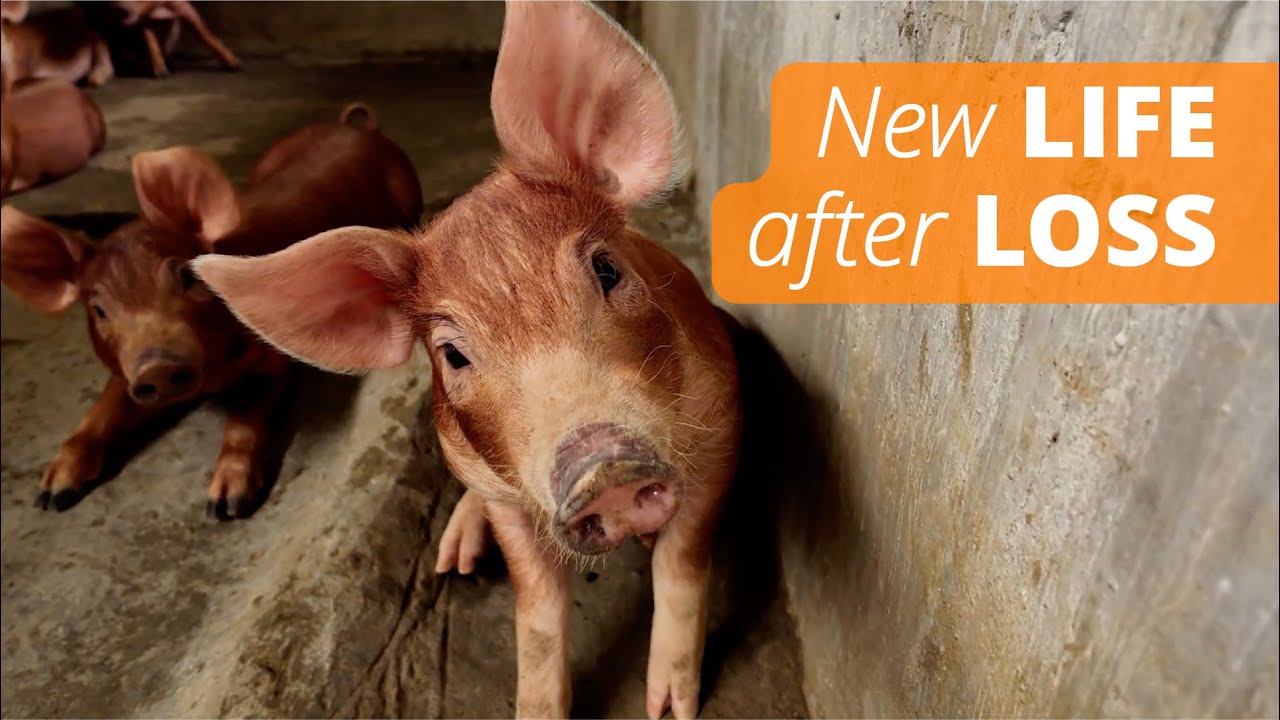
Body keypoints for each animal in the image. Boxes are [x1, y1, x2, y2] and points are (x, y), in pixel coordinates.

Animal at [0, 102, 423, 518]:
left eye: (187, 277)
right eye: (100, 309)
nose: (157, 365)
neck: (212, 381)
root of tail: (355, 127)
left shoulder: (274, 361)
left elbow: (243, 420)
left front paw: (225, 506)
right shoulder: (127, 372)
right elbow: (101, 412)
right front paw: (50, 494)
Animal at [192, 2, 741, 717]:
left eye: (606, 268)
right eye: (453, 354)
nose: (604, 470)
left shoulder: (722, 425)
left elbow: (681, 562)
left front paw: (671, 708)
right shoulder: (506, 497)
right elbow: (536, 612)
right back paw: (452, 561)